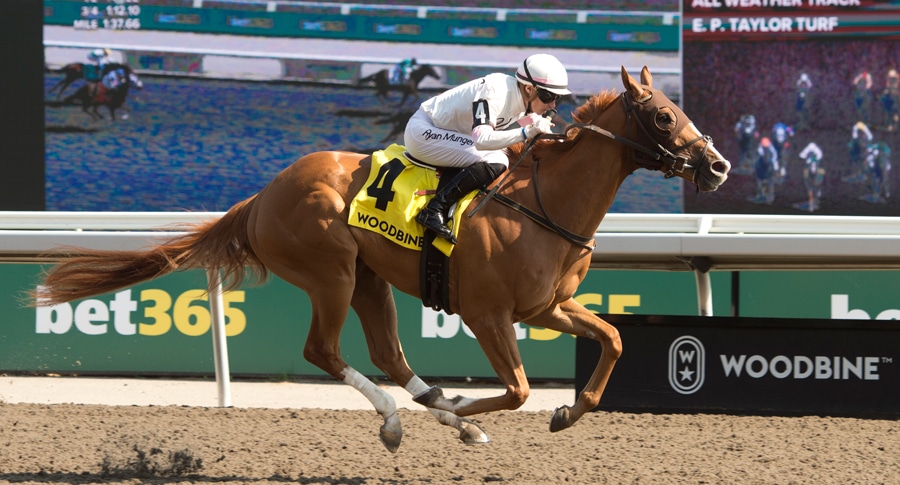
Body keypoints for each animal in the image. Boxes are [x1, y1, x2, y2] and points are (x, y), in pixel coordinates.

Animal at [34, 66, 729, 453]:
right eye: (663, 115)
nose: (718, 166)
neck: (543, 205)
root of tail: (264, 194)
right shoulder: (487, 313)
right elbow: (516, 388)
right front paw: (472, 409)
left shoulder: (548, 306)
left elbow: (612, 338)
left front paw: (566, 412)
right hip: (331, 272)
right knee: (324, 350)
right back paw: (405, 419)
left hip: (370, 279)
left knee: (389, 354)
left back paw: (442, 416)